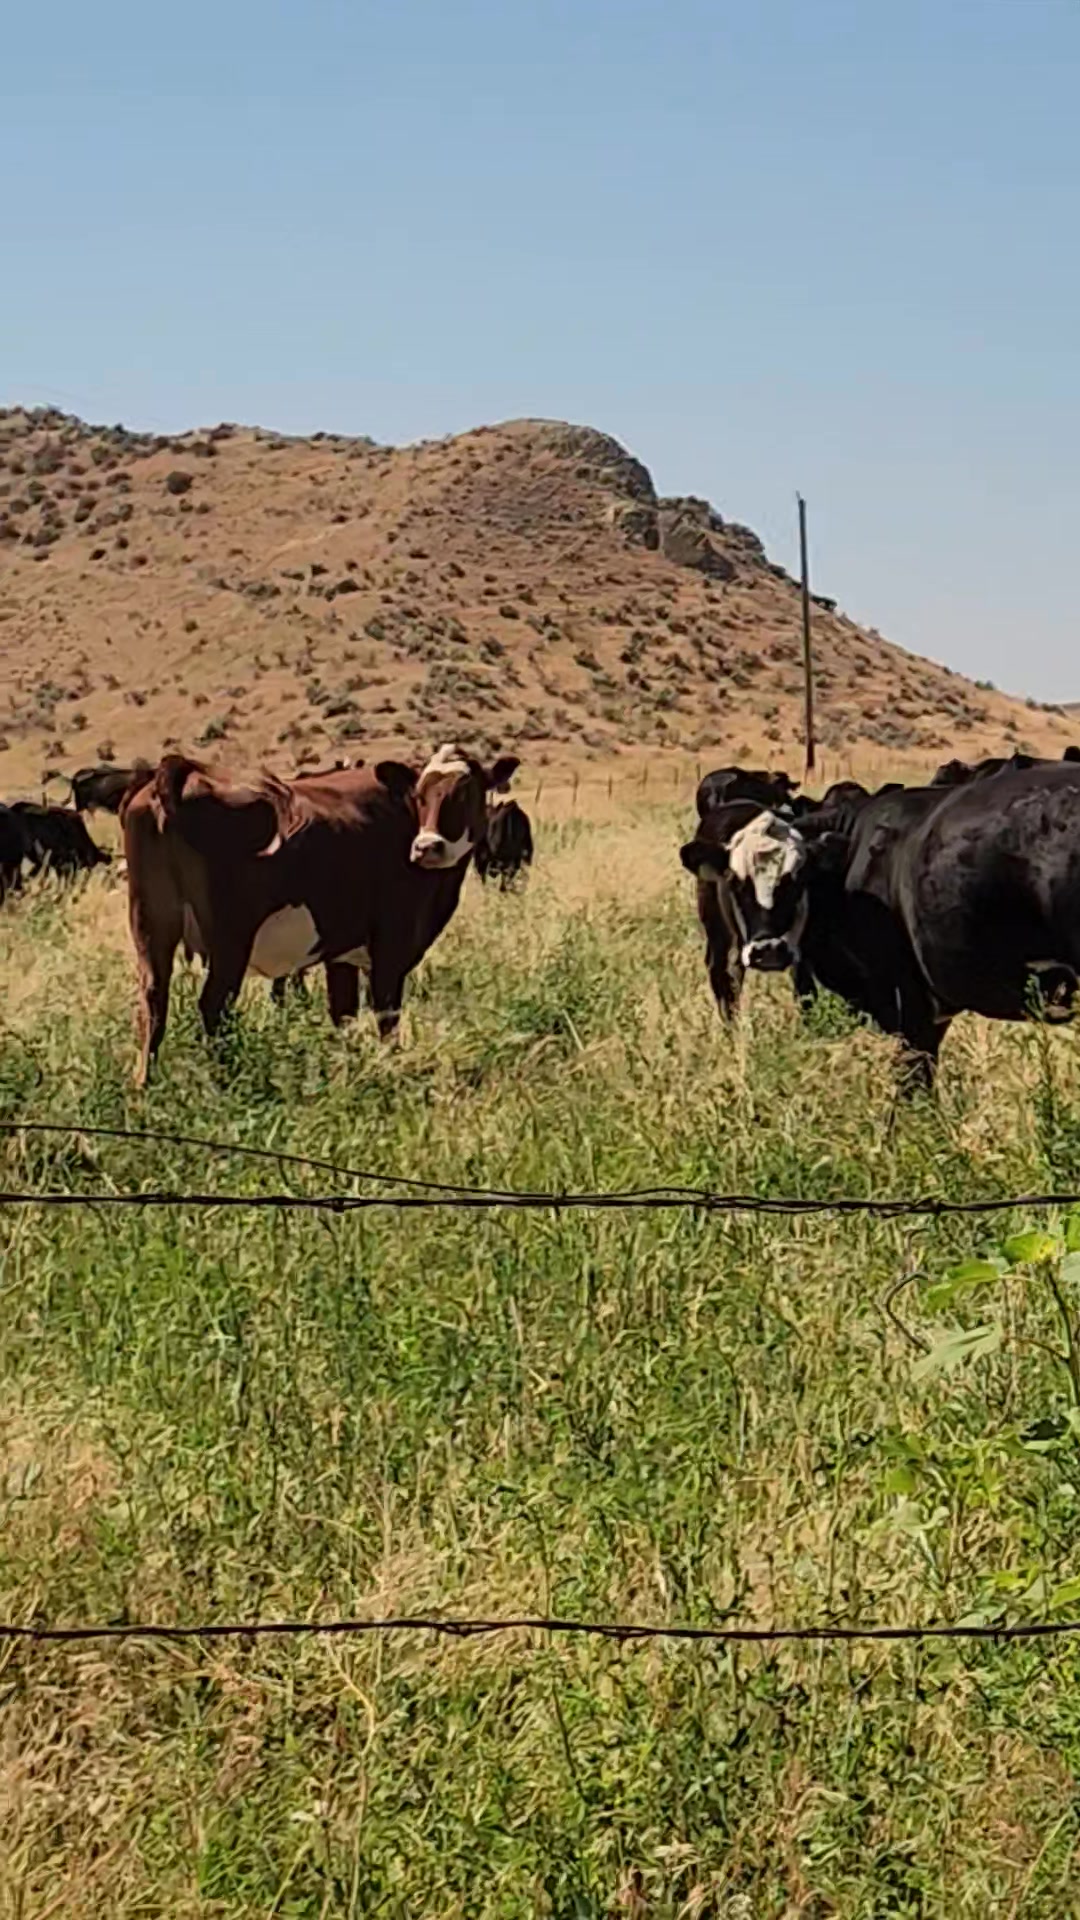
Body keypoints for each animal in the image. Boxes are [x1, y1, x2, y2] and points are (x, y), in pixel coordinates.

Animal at [121, 743, 520, 1083]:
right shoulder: (391, 946)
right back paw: (224, 1081)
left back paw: (144, 1087)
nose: (427, 847)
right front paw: (389, 1069)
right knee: (214, 1007)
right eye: (420, 795)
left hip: (151, 925)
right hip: (230, 940)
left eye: (467, 793)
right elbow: (385, 1015)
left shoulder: (341, 952)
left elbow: (343, 1014)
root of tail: (184, 771)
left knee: (152, 1003)